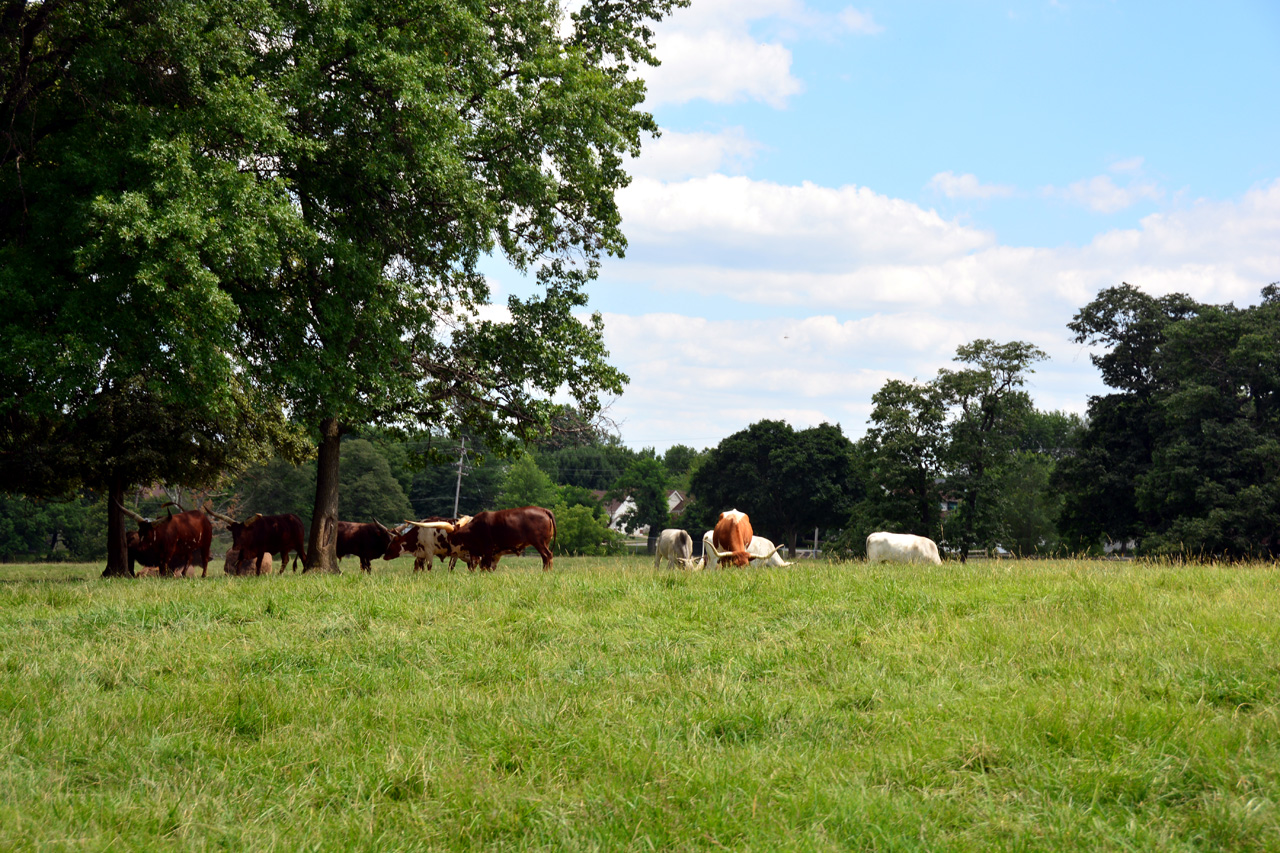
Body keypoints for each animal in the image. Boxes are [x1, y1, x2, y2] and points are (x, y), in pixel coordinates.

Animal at [407, 504, 552, 571]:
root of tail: (544, 510)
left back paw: (545, 572)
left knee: (547, 556)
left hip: (539, 542)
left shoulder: (487, 549)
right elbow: (482, 565)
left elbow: (485, 565)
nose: (448, 544)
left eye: (453, 536)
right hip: (544, 542)